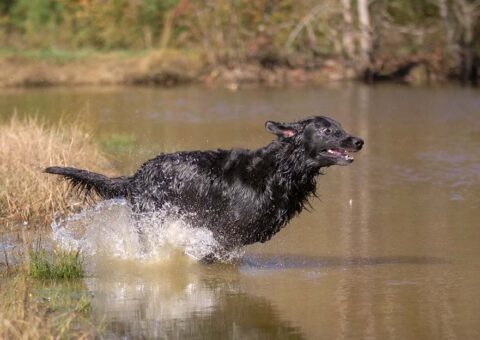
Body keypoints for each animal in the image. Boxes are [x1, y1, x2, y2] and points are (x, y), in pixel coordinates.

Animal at [47, 115, 364, 258]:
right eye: (327, 129)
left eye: (338, 126)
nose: (359, 140)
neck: (280, 169)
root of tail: (137, 176)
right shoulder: (223, 227)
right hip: (152, 220)